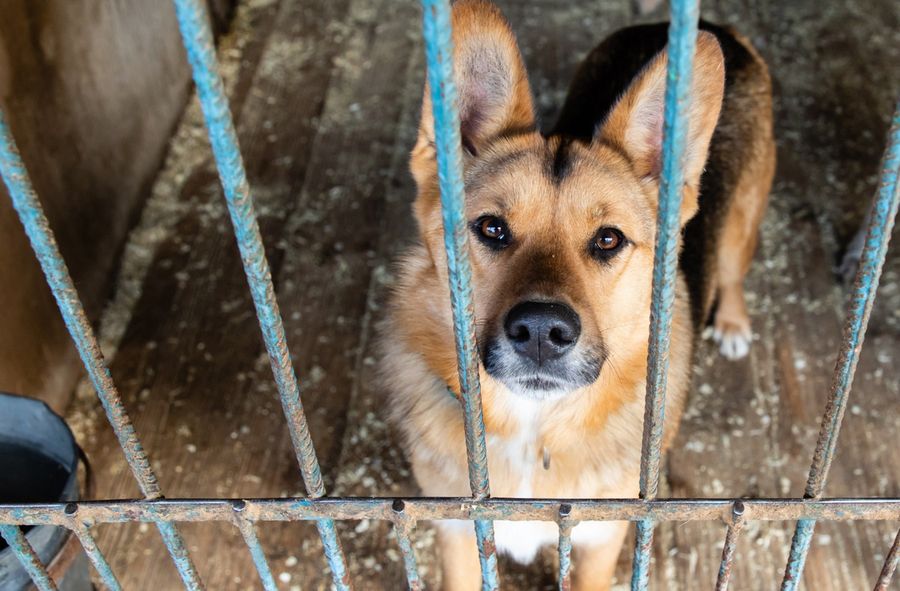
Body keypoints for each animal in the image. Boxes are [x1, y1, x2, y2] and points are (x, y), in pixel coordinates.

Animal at [380, 2, 772, 588]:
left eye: (608, 239)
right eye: (492, 228)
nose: (542, 331)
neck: (533, 428)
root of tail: (717, 27)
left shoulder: (598, 543)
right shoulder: (459, 536)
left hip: (741, 226)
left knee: (732, 272)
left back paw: (732, 323)